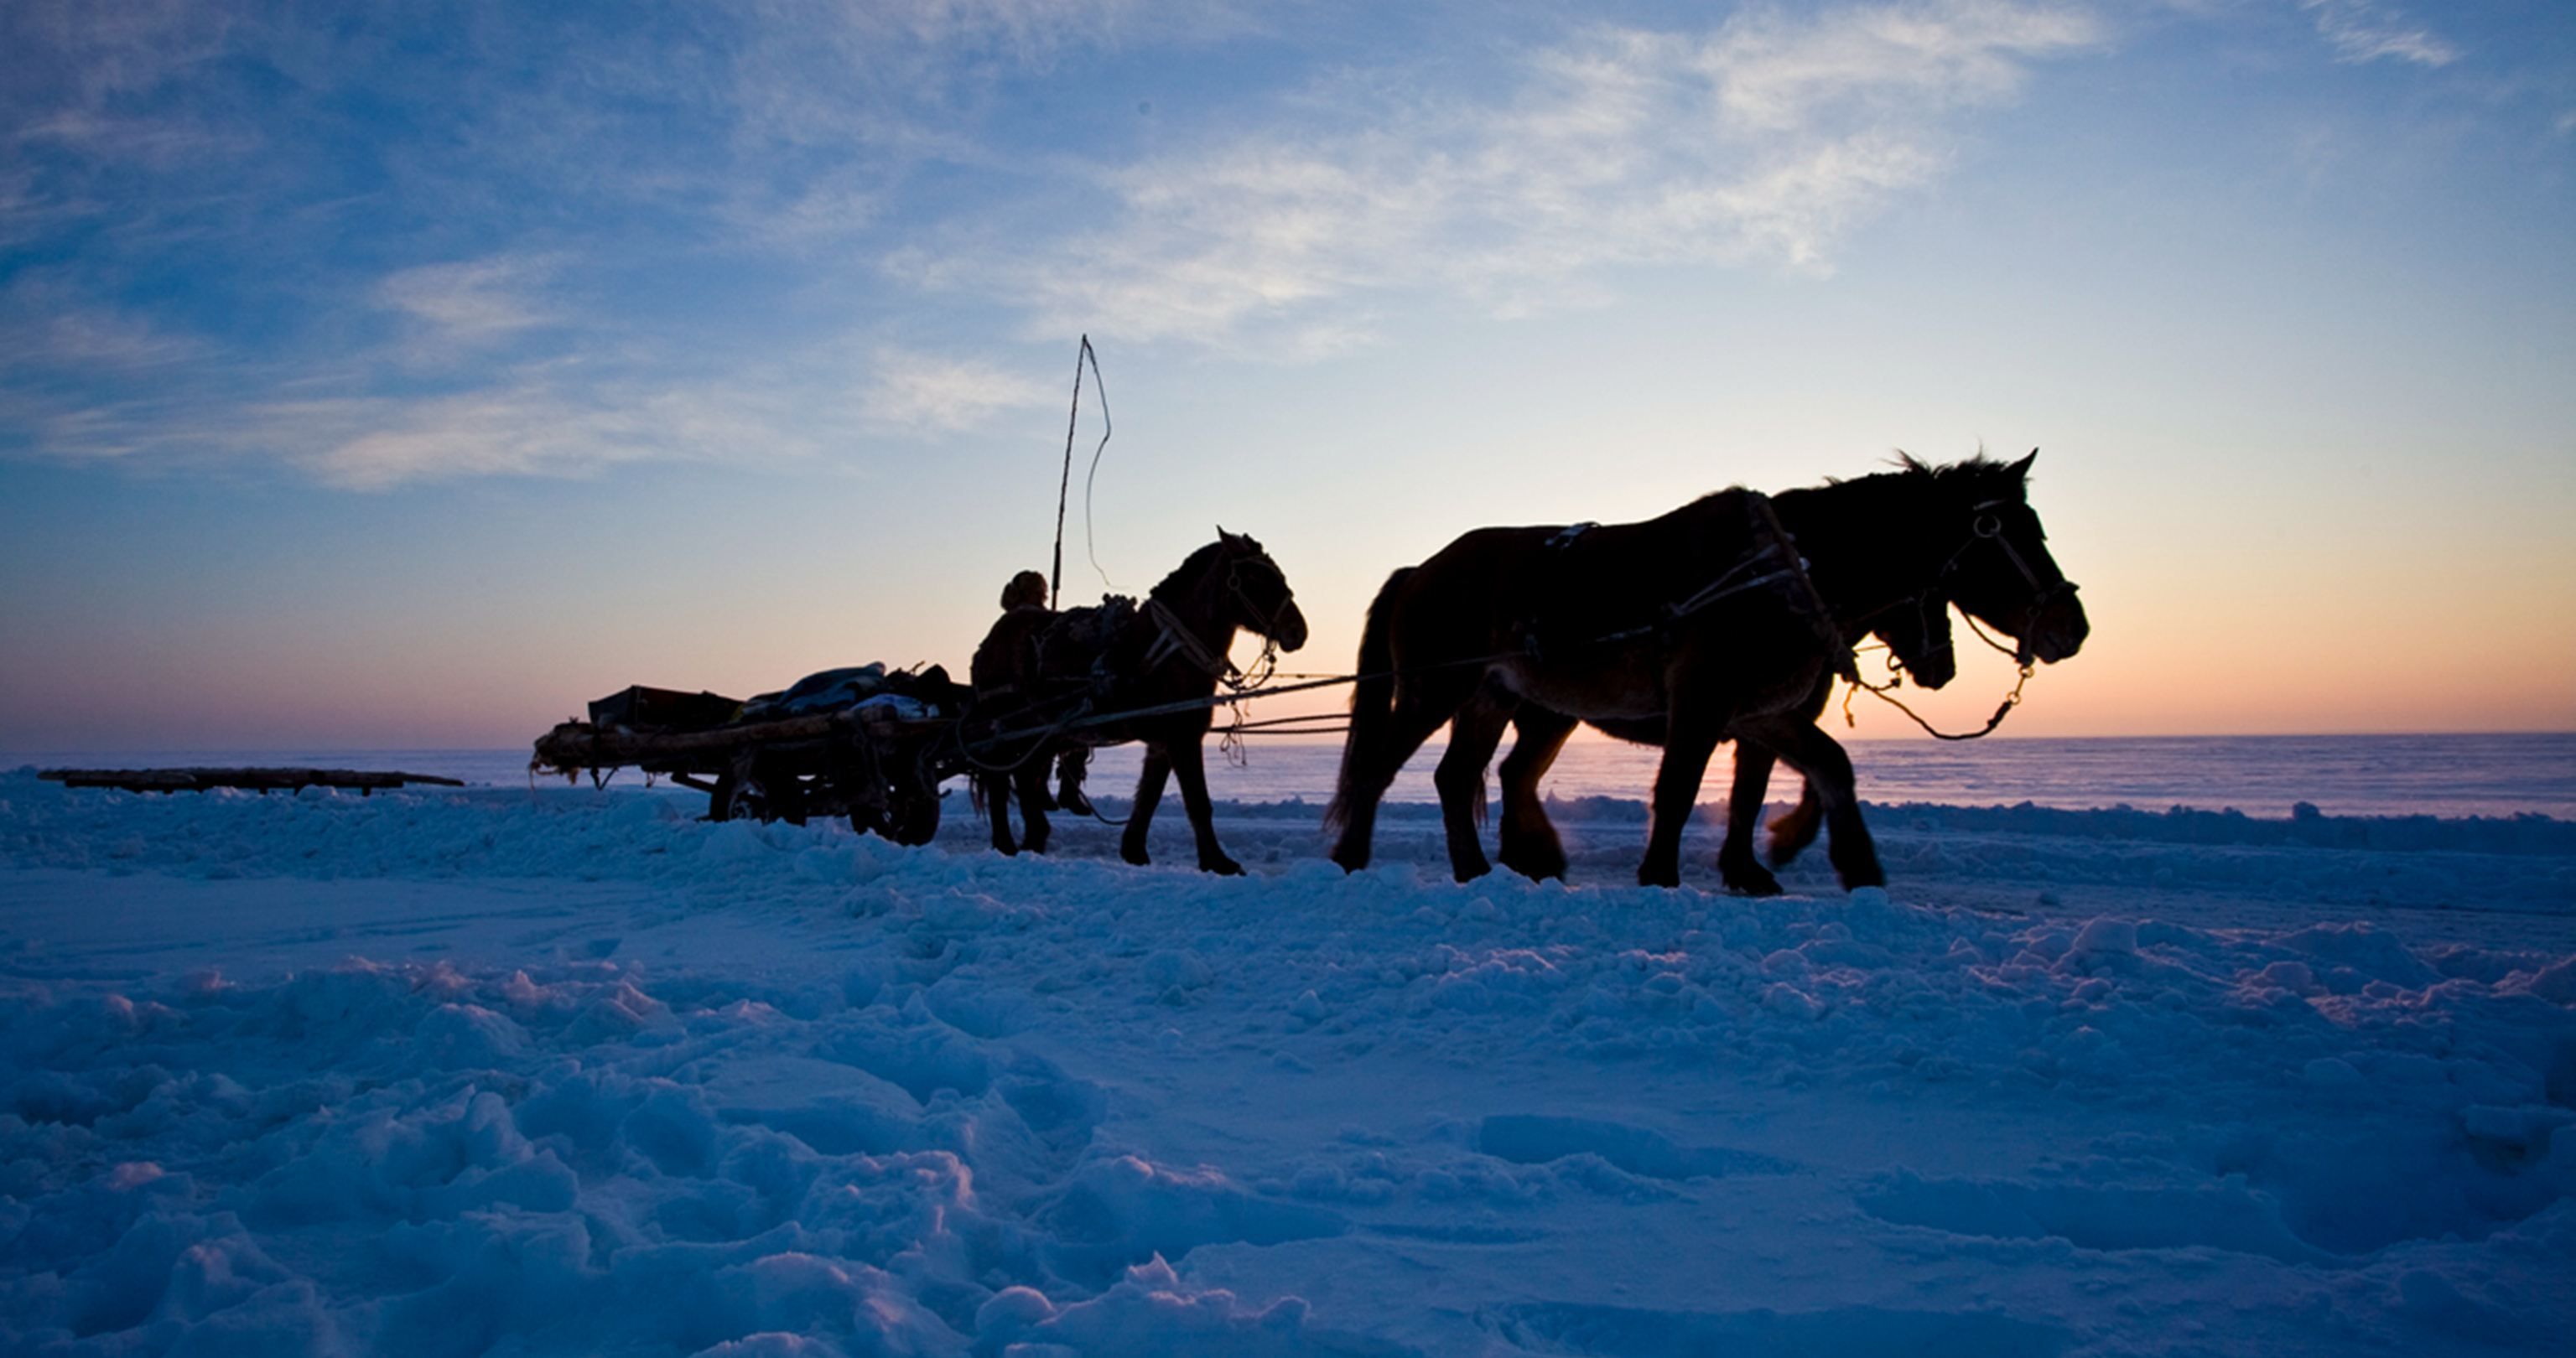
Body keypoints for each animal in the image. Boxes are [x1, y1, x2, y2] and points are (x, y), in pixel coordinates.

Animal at [969, 528, 1308, 871]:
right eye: (1257, 576)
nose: (1298, 631)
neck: (1170, 648)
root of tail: (991, 639)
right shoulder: (1181, 736)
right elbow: (1197, 801)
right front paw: (1217, 861)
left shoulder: (1165, 740)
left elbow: (1148, 797)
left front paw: (1134, 850)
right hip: (1006, 724)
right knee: (998, 777)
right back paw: (1006, 843)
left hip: (1047, 730)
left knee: (1025, 775)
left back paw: (1035, 837)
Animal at [1339, 450, 2081, 886]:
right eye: (2003, 534)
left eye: (2038, 527)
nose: (2072, 628)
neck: (1784, 571)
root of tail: (1421, 570)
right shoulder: (1702, 701)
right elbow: (1679, 791)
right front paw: (1663, 876)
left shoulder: (1761, 711)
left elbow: (1815, 773)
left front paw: (1839, 865)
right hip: (1438, 688)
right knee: (1381, 770)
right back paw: (1353, 860)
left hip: (1494, 698)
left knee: (1460, 776)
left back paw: (1484, 868)